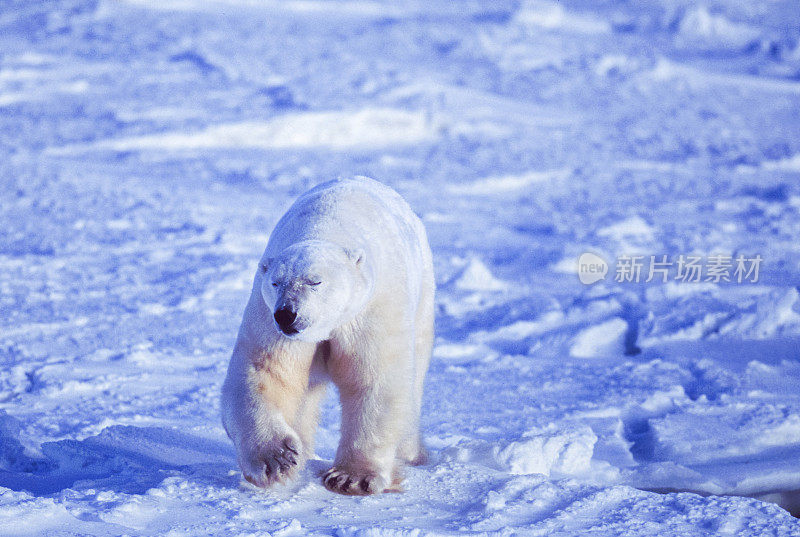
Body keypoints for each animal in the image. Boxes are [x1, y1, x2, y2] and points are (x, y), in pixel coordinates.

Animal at [219, 176, 434, 494]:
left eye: (314, 281)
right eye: (276, 282)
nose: (287, 314)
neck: (327, 226)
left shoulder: (370, 310)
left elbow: (374, 379)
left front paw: (352, 478)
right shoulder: (268, 318)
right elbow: (264, 372)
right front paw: (278, 459)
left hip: (422, 302)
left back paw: (410, 453)